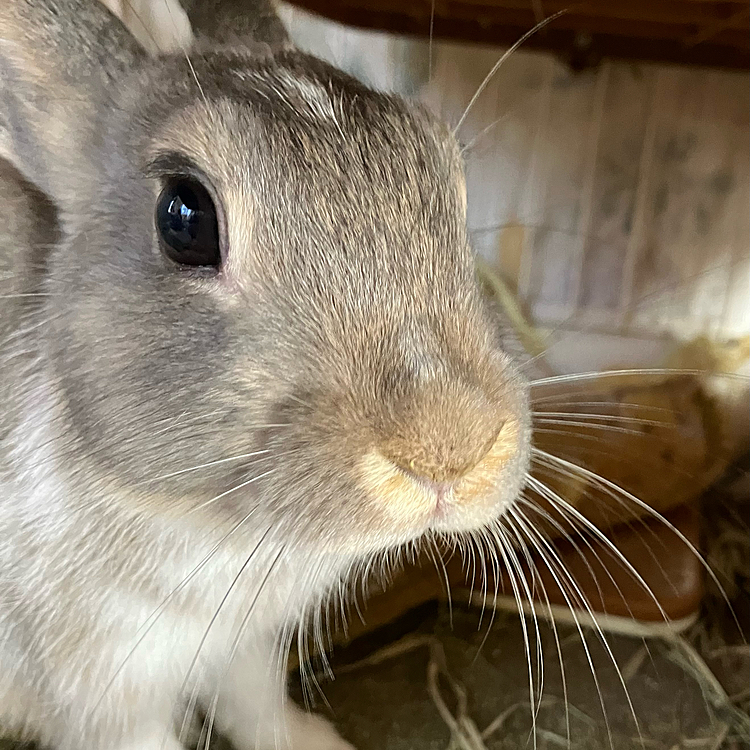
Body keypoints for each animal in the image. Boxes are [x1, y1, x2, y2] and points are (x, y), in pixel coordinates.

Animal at [0, 1, 528, 750]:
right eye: (184, 216)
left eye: (453, 190)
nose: (450, 448)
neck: (227, 531)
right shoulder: (105, 692)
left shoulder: (243, 649)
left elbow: (258, 704)